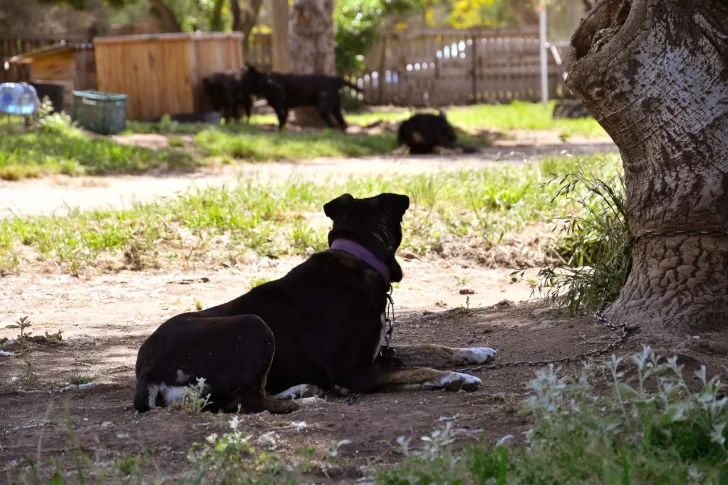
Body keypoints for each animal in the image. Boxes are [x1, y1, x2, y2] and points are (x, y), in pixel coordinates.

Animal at [134, 193, 498, 412]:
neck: (358, 256)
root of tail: (146, 371)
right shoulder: (354, 374)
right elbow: (420, 369)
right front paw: (455, 378)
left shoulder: (381, 354)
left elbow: (432, 348)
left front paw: (475, 352)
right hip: (254, 325)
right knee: (251, 402)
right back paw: (306, 402)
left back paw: (301, 390)